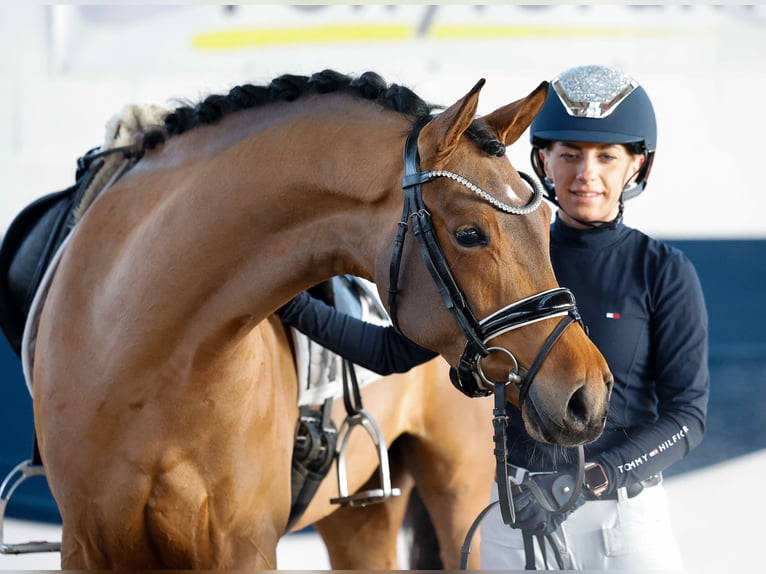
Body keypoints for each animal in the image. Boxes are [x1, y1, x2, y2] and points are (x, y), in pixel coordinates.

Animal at [28, 70, 612, 568]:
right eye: (470, 234)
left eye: (545, 219)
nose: (588, 394)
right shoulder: (87, 547)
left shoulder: (242, 548)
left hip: (461, 490)